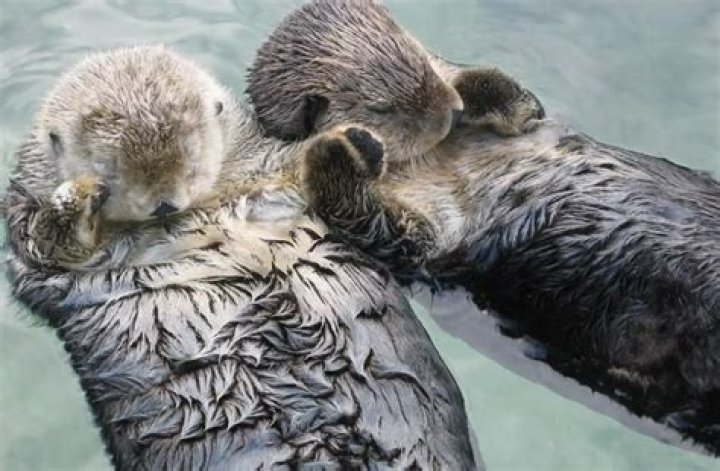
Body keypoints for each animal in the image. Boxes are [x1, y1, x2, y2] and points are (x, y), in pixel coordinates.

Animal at [5, 47, 479, 469]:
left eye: (193, 158)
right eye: (111, 171)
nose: (164, 204)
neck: (206, 210)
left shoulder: (272, 174)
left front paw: (354, 142)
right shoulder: (37, 248)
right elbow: (49, 245)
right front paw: (79, 194)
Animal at [246, 0, 720, 454]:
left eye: (419, 55)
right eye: (382, 107)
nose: (451, 112)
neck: (435, 156)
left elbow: (525, 102)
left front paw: (477, 91)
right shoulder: (422, 239)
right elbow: (375, 224)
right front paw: (342, 147)